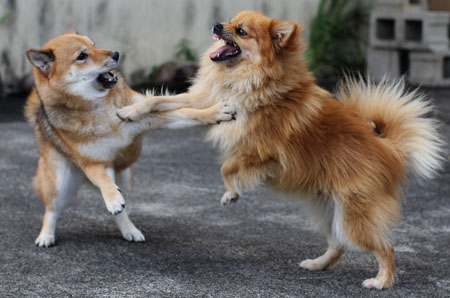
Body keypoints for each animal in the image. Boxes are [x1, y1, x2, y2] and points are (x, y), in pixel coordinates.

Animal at [25, 31, 236, 248]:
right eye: (82, 56)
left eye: (94, 45)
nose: (116, 54)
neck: (99, 107)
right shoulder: (92, 163)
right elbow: (102, 180)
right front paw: (112, 199)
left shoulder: (150, 118)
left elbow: (189, 113)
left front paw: (215, 112)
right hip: (60, 183)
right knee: (52, 209)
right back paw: (46, 235)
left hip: (125, 178)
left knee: (121, 211)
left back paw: (129, 230)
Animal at [116, 11, 442, 288]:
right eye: (230, 21)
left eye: (241, 31)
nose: (218, 25)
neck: (244, 77)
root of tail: (390, 148)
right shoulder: (203, 99)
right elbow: (159, 101)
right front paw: (129, 112)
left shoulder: (261, 151)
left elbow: (228, 166)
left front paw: (231, 194)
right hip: (328, 213)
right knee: (338, 243)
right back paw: (318, 264)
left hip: (354, 218)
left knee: (386, 247)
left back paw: (381, 281)